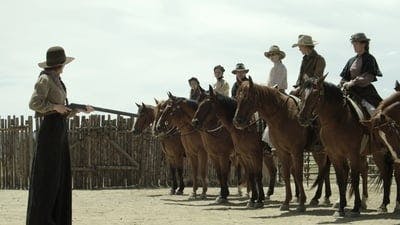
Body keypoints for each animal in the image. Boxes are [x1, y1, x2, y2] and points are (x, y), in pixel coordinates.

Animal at [233, 76, 330, 212]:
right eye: (237, 97)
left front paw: (301, 202)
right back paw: (318, 198)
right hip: (318, 151)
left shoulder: (296, 151)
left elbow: (298, 174)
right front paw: (286, 202)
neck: (283, 115)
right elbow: (286, 174)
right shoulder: (281, 151)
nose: (237, 121)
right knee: (323, 170)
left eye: (248, 98)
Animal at [296, 76, 394, 217]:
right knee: (377, 172)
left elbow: (354, 178)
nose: (302, 118)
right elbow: (340, 179)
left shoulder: (353, 154)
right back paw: (373, 203)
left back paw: (384, 205)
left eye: (315, 94)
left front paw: (355, 208)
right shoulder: (335, 155)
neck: (338, 120)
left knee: (386, 174)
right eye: (301, 93)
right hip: (375, 153)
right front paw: (341, 208)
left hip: (381, 153)